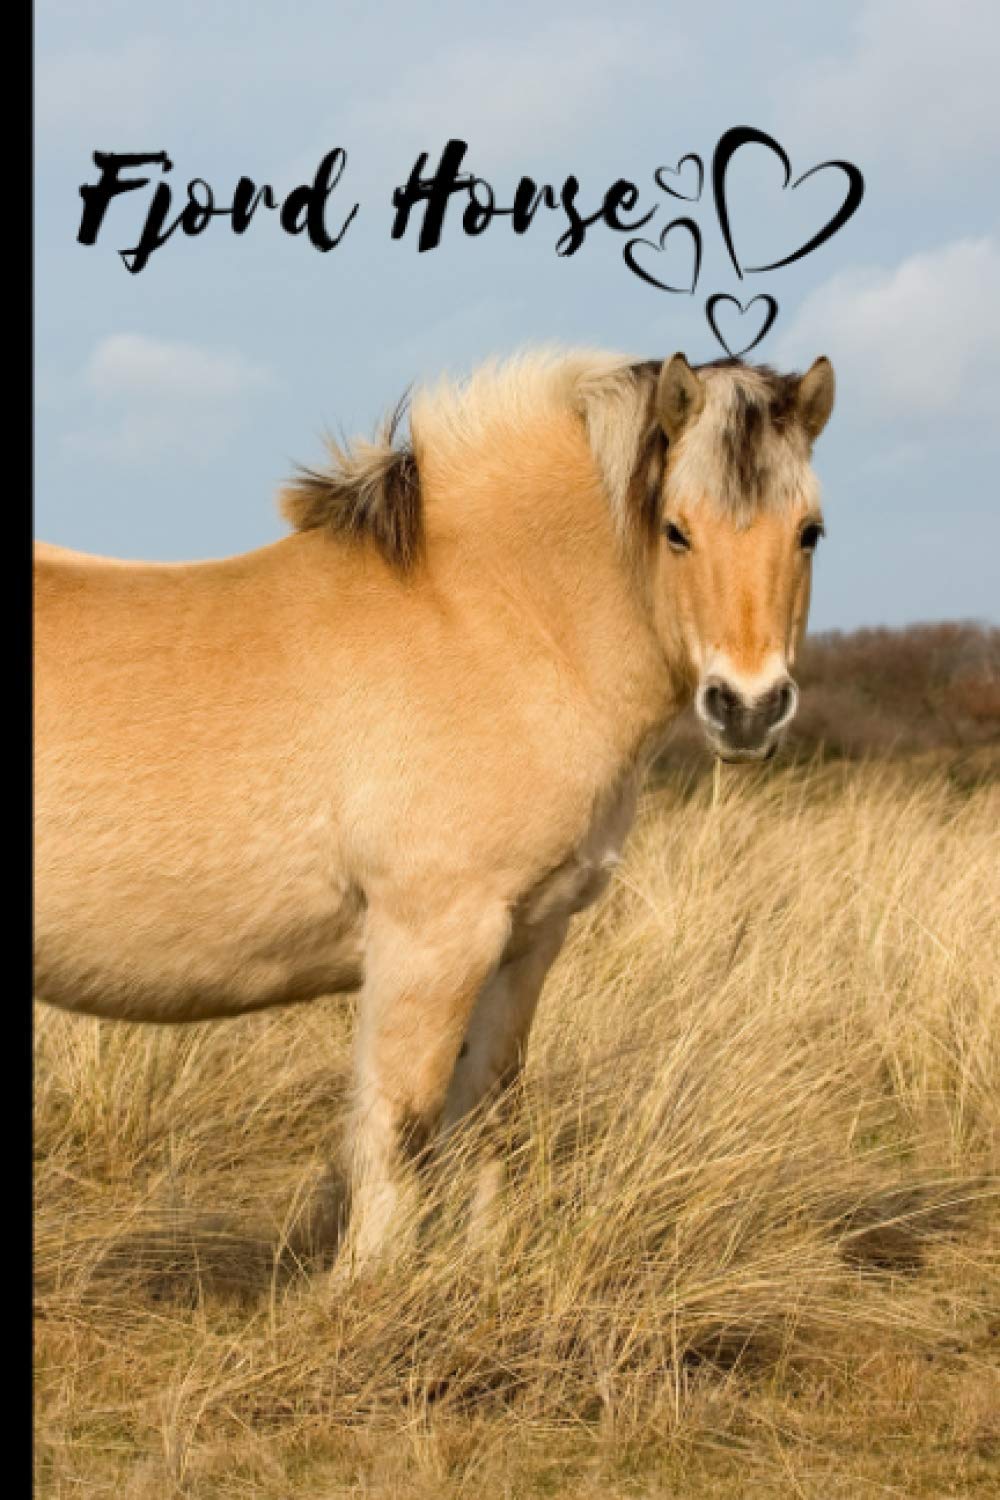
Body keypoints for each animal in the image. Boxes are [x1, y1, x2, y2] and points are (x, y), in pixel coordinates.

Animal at [33, 347, 835, 1270]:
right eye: (676, 529)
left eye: (809, 531)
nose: (748, 709)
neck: (494, 618)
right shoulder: (431, 940)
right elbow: (400, 1129)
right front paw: (367, 1287)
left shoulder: (527, 939)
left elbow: (487, 1110)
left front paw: (481, 1271)